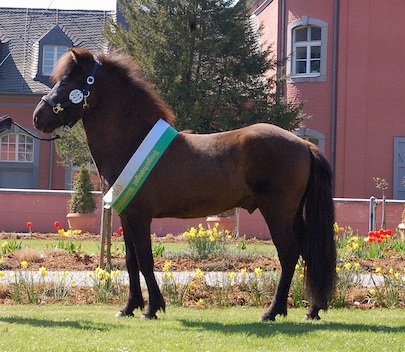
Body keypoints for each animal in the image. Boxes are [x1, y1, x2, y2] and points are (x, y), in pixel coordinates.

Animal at [33, 47, 334, 322]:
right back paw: (311, 309)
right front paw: (129, 307)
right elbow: (131, 260)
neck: (132, 141)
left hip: (277, 212)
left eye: (68, 82)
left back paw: (272, 312)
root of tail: (304, 145)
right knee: (306, 252)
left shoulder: (139, 216)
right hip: (292, 214)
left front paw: (152, 308)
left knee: (289, 253)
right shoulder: (126, 215)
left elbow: (145, 260)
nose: (38, 117)